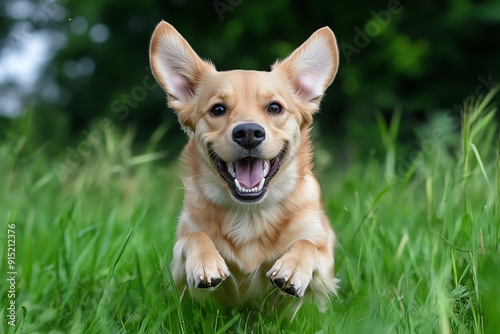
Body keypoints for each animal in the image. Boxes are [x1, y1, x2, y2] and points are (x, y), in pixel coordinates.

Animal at [148, 20, 340, 314]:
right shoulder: (182, 270)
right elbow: (194, 238)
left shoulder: (323, 261)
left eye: (275, 108)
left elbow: (308, 244)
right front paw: (205, 261)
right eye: (217, 109)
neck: (250, 214)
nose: (248, 132)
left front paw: (293, 267)